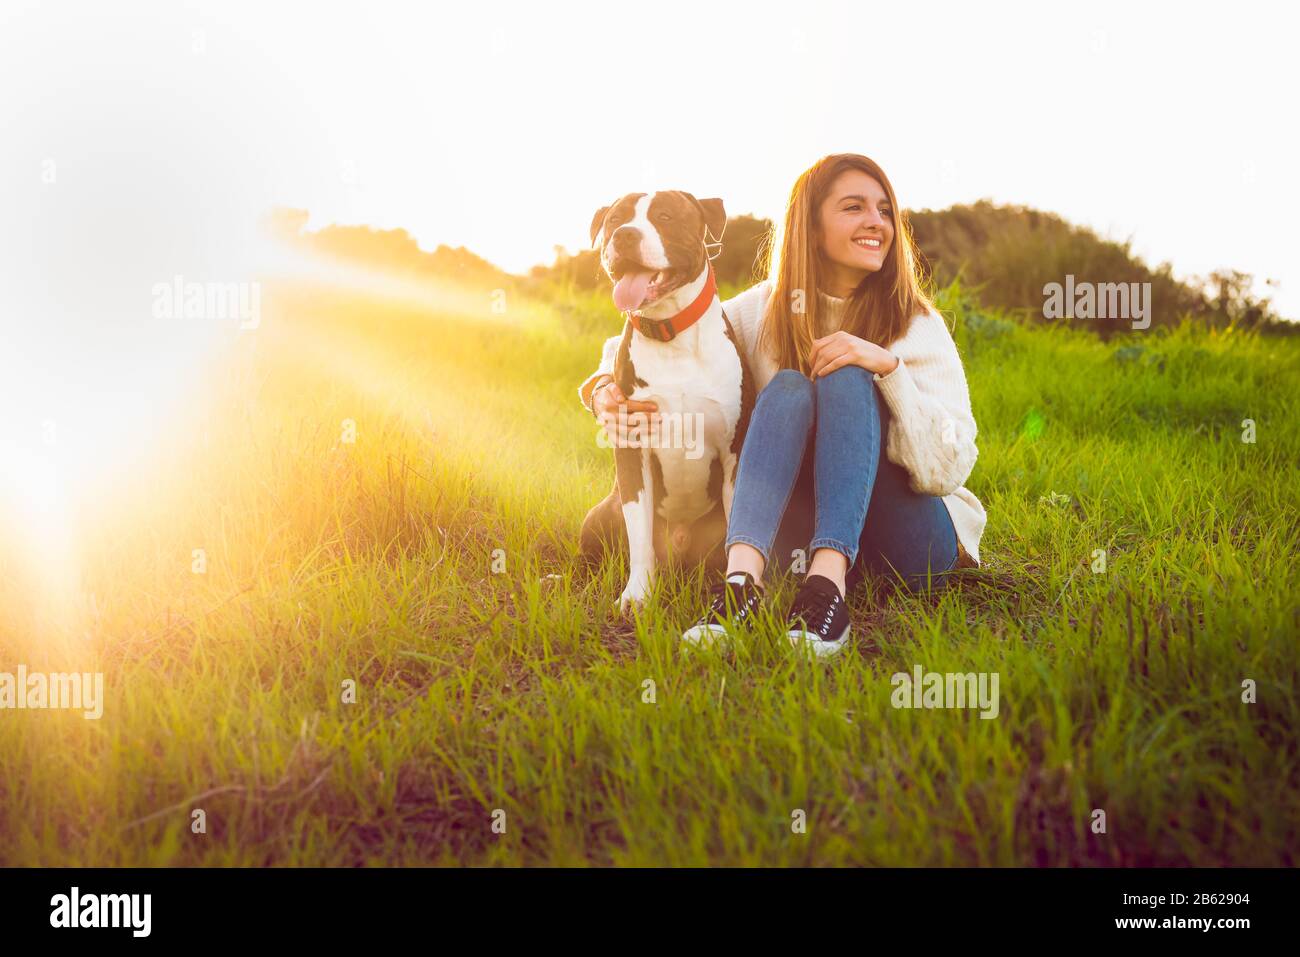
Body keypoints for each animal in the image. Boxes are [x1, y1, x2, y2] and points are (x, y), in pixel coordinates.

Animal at [577, 191, 754, 613]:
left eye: (665, 216)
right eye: (615, 219)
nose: (624, 235)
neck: (670, 334)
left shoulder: (734, 452)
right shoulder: (632, 448)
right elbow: (640, 537)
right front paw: (637, 595)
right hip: (600, 514)